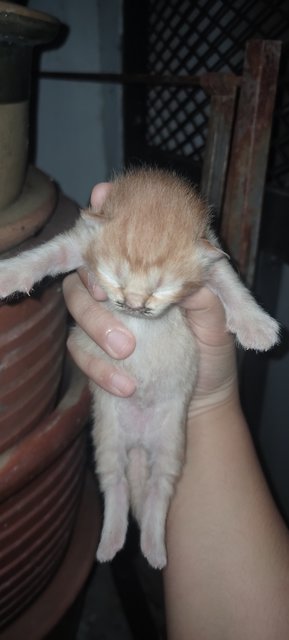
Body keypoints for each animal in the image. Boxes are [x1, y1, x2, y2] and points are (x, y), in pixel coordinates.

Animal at [0, 168, 280, 568]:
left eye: (162, 289)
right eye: (114, 278)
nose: (134, 304)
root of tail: (138, 441)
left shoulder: (213, 259)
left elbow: (231, 283)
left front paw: (256, 326)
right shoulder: (79, 242)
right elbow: (46, 254)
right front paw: (9, 272)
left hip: (171, 444)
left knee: (157, 492)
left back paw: (153, 548)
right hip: (107, 440)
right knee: (115, 485)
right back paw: (111, 541)